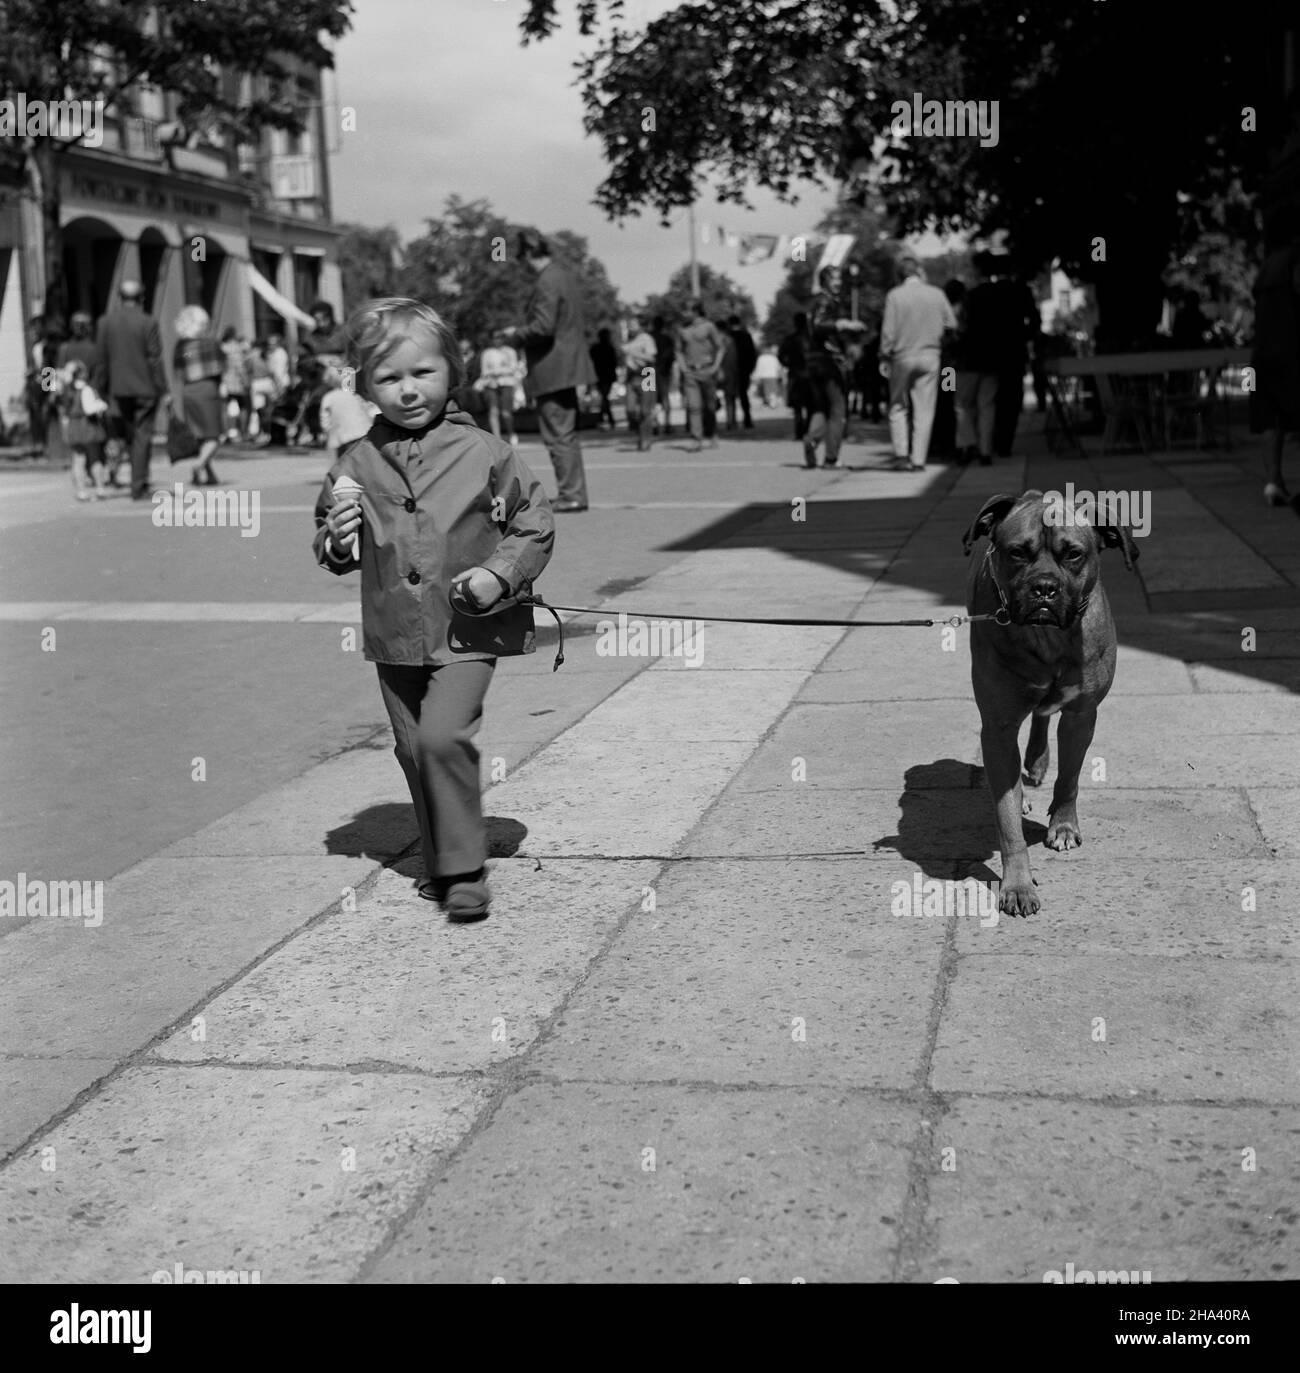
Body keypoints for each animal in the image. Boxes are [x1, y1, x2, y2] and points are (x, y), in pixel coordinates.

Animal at [966, 488, 1136, 917]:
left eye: (1073, 554)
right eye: (1016, 553)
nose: (1044, 587)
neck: (1047, 639)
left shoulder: (1081, 715)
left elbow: (1070, 777)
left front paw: (1063, 825)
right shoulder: (998, 726)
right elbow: (1006, 814)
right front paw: (1017, 884)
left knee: (1043, 717)